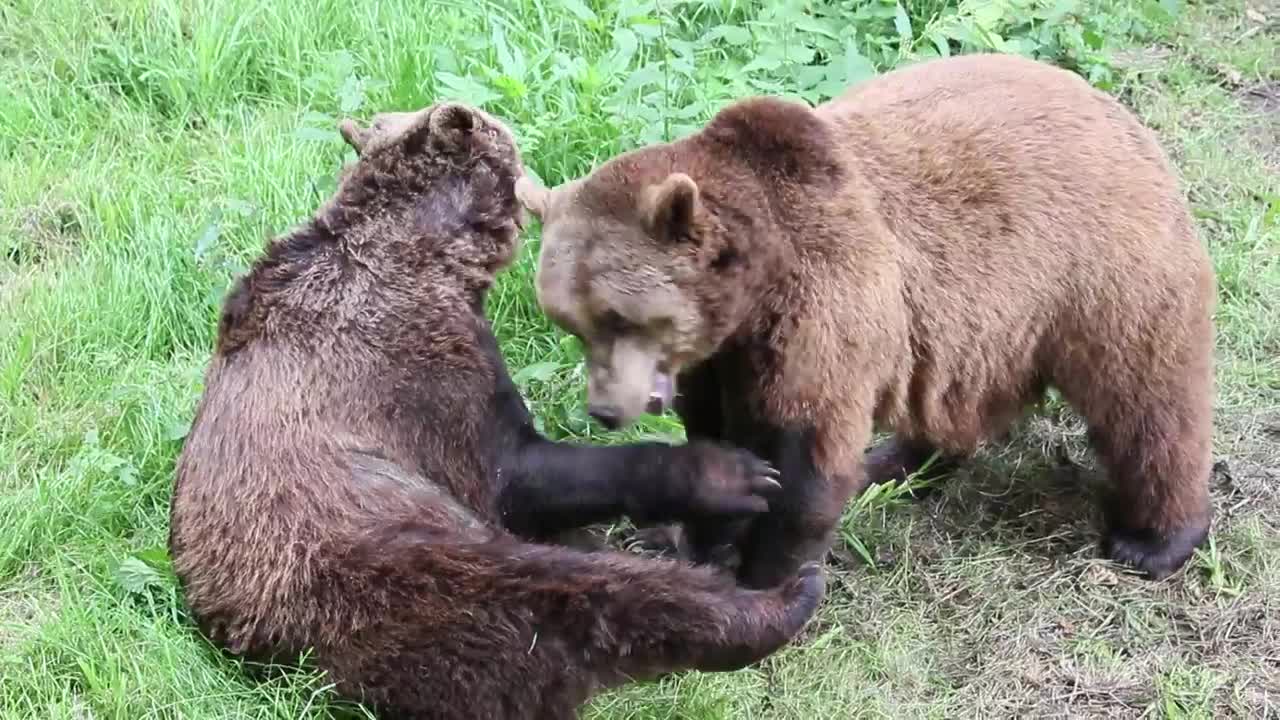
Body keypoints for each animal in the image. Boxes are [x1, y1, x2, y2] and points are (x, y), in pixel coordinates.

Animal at [165, 101, 824, 717]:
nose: (524, 148)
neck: (431, 253)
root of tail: (256, 644)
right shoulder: (417, 371)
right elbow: (517, 470)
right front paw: (732, 473)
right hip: (369, 560)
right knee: (565, 600)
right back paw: (779, 598)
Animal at [514, 51, 1213, 589]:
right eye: (572, 324)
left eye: (620, 317)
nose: (606, 411)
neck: (754, 294)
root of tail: (1118, 110)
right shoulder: (724, 357)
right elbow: (719, 433)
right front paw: (708, 525)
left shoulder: (822, 310)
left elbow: (807, 455)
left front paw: (766, 577)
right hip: (986, 318)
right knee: (961, 393)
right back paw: (899, 461)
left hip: (1101, 274)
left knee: (1146, 400)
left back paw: (1156, 538)